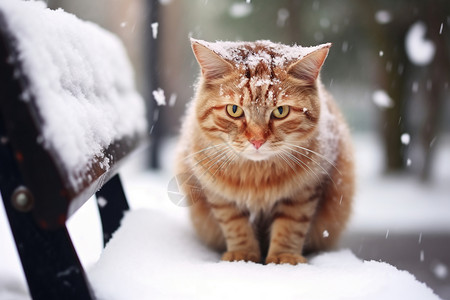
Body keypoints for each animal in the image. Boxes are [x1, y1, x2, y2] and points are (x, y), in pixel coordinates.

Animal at [176, 38, 356, 264]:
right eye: (234, 110)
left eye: (280, 111)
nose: (257, 140)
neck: (257, 176)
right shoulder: (220, 196)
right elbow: (236, 226)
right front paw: (243, 255)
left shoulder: (303, 193)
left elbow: (290, 227)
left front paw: (284, 257)